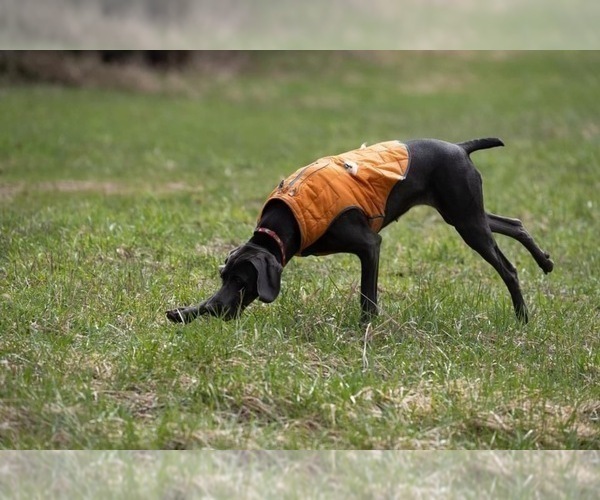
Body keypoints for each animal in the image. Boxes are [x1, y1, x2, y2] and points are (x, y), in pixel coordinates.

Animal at [165, 137, 552, 326]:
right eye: (223, 277)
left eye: (242, 281)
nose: (218, 311)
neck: (282, 223)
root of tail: (461, 147)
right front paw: (186, 313)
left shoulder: (369, 244)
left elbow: (368, 297)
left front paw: (365, 329)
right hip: (465, 213)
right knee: (514, 224)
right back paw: (546, 262)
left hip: (466, 220)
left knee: (508, 268)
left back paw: (522, 318)